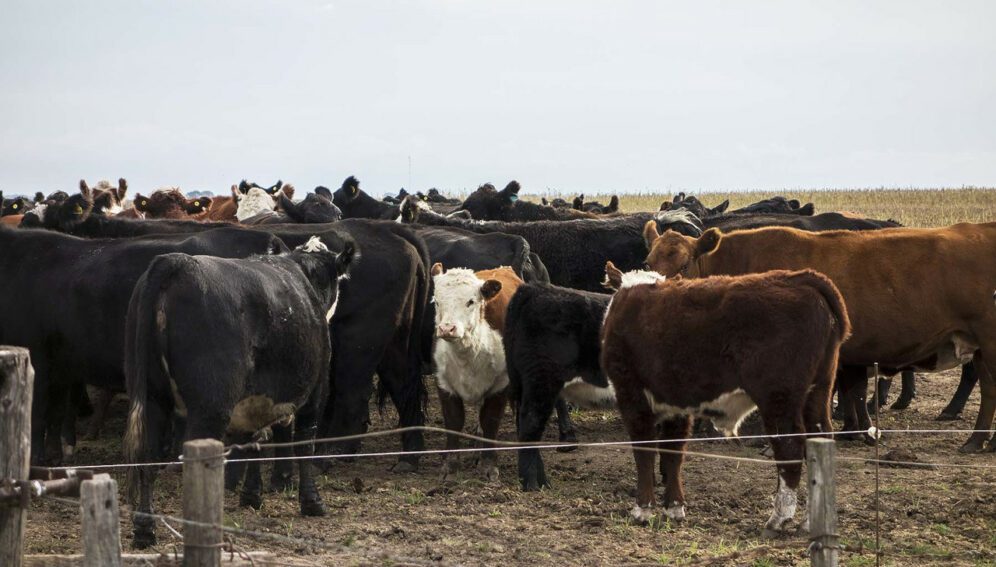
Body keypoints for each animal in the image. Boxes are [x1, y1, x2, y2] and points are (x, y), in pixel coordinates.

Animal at [126, 237, 354, 548]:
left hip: (152, 398)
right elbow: (305, 442)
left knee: (147, 459)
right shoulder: (316, 390)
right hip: (210, 407)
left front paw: (251, 495)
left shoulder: (252, 399)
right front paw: (312, 502)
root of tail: (176, 262)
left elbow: (254, 440)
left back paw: (145, 530)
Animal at [430, 264, 524, 482]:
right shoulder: (443, 381)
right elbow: (454, 421)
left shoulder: (501, 383)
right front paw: (450, 466)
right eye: (437, 301)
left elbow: (490, 421)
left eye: (470, 301)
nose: (447, 328)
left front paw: (488, 466)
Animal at [596, 264, 852, 536]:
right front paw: (674, 507)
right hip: (818, 391)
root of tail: (801, 279)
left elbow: (644, 451)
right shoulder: (677, 404)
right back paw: (809, 521)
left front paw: (642, 510)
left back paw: (778, 519)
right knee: (819, 438)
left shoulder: (631, 395)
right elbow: (673, 453)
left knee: (790, 446)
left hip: (778, 398)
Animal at [640, 222, 996, 452]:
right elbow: (853, 392)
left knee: (989, 389)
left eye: (684, 264)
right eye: (647, 261)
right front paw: (858, 431)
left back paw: (976, 441)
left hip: (988, 342)